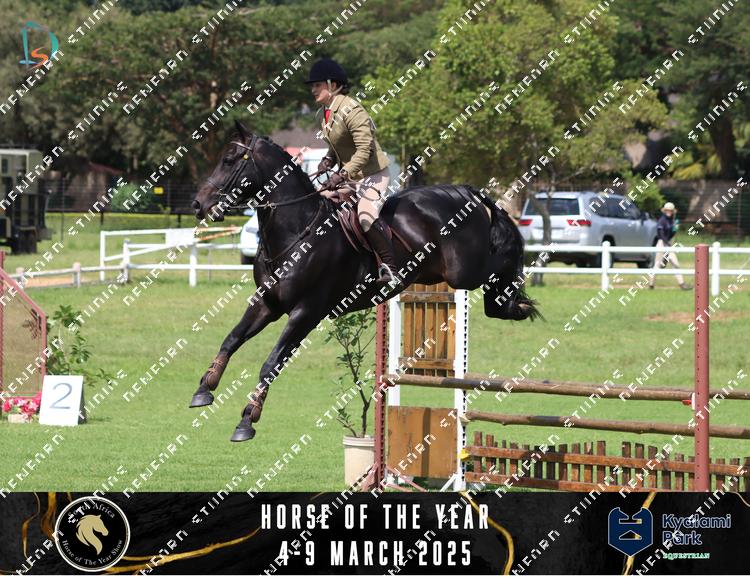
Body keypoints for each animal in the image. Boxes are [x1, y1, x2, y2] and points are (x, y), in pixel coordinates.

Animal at [190, 120, 539, 442]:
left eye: (230, 160)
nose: (198, 205)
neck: (298, 231)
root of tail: (468, 192)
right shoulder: (266, 303)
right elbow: (232, 339)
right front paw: (204, 389)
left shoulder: (306, 312)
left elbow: (271, 363)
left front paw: (247, 419)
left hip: (464, 271)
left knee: (501, 261)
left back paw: (516, 302)